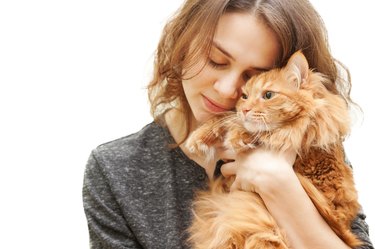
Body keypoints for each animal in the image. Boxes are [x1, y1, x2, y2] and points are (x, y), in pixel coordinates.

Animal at [187, 51, 362, 249]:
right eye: (244, 96)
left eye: (268, 95)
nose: (245, 109)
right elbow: (226, 116)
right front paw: (199, 137)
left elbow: (261, 131)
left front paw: (239, 136)